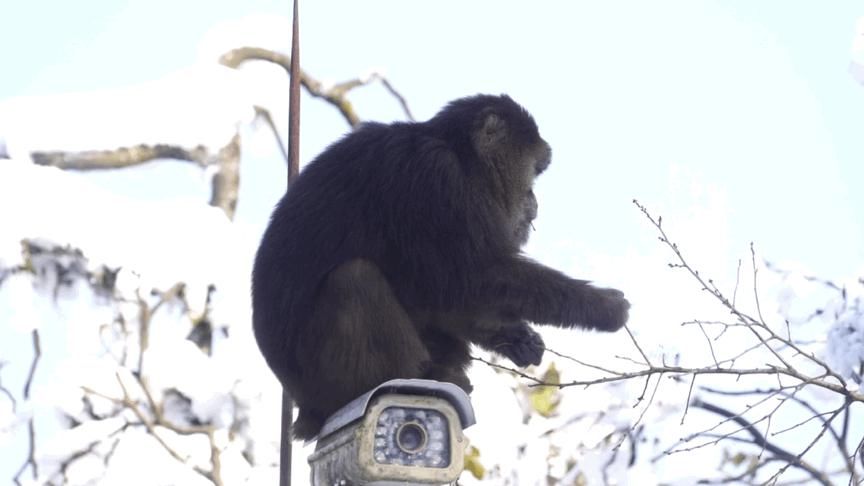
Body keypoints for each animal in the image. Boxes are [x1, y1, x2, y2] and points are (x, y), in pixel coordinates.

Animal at [253, 95, 632, 440]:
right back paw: (422, 377)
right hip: (327, 379)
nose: (533, 200)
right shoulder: (435, 175)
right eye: (536, 171)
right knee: (355, 279)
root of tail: (306, 410)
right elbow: (476, 276)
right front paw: (603, 307)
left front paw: (514, 336)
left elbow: (445, 294)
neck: (460, 156)